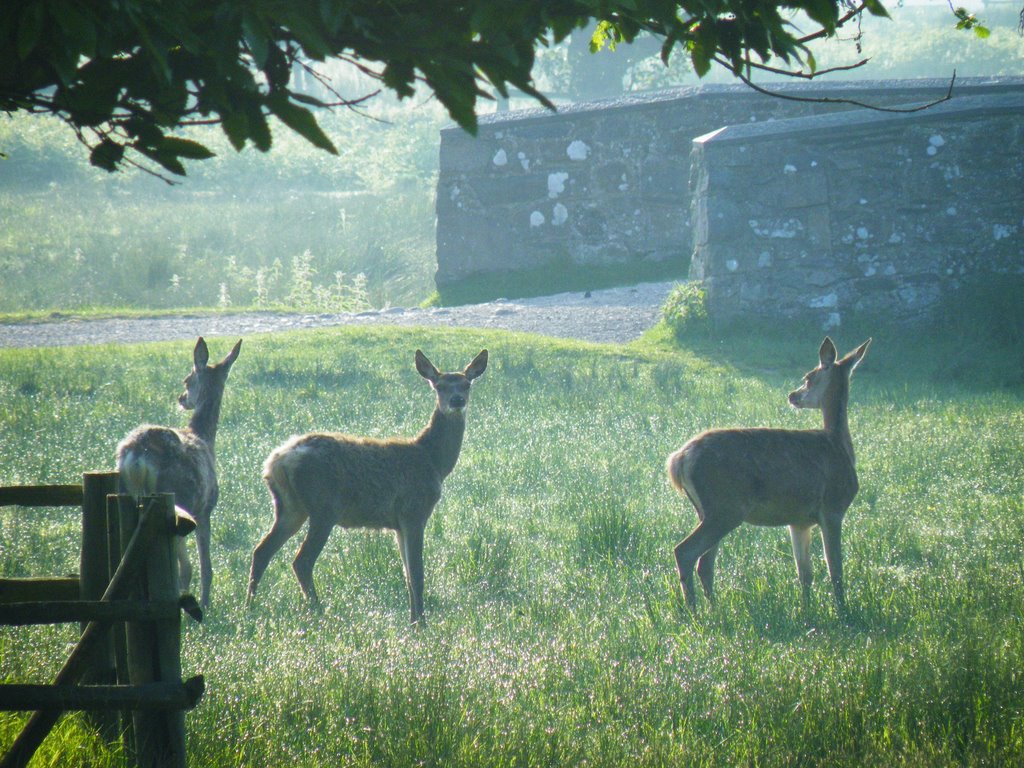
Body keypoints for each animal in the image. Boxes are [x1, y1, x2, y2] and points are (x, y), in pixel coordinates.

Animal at [115, 339, 241, 610]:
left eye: (187, 380)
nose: (181, 398)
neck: (205, 437)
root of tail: (137, 456)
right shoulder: (204, 508)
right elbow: (206, 567)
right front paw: (206, 603)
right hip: (176, 500)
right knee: (184, 568)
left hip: (124, 494)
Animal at [246, 348, 487, 626]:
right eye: (439, 386)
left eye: (467, 384)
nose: (457, 400)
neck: (433, 460)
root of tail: (276, 461)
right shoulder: (414, 511)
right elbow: (417, 573)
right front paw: (421, 624)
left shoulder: (398, 524)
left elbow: (407, 574)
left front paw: (413, 620)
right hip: (323, 507)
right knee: (302, 561)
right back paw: (319, 612)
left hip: (290, 508)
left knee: (261, 551)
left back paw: (249, 608)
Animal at [663, 335, 872, 614]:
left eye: (808, 378)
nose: (793, 395)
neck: (839, 445)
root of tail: (679, 459)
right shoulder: (832, 507)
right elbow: (835, 570)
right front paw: (842, 611)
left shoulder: (799, 521)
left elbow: (805, 573)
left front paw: (807, 610)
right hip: (725, 507)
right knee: (685, 552)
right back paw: (694, 612)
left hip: (707, 510)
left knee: (704, 563)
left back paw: (713, 609)